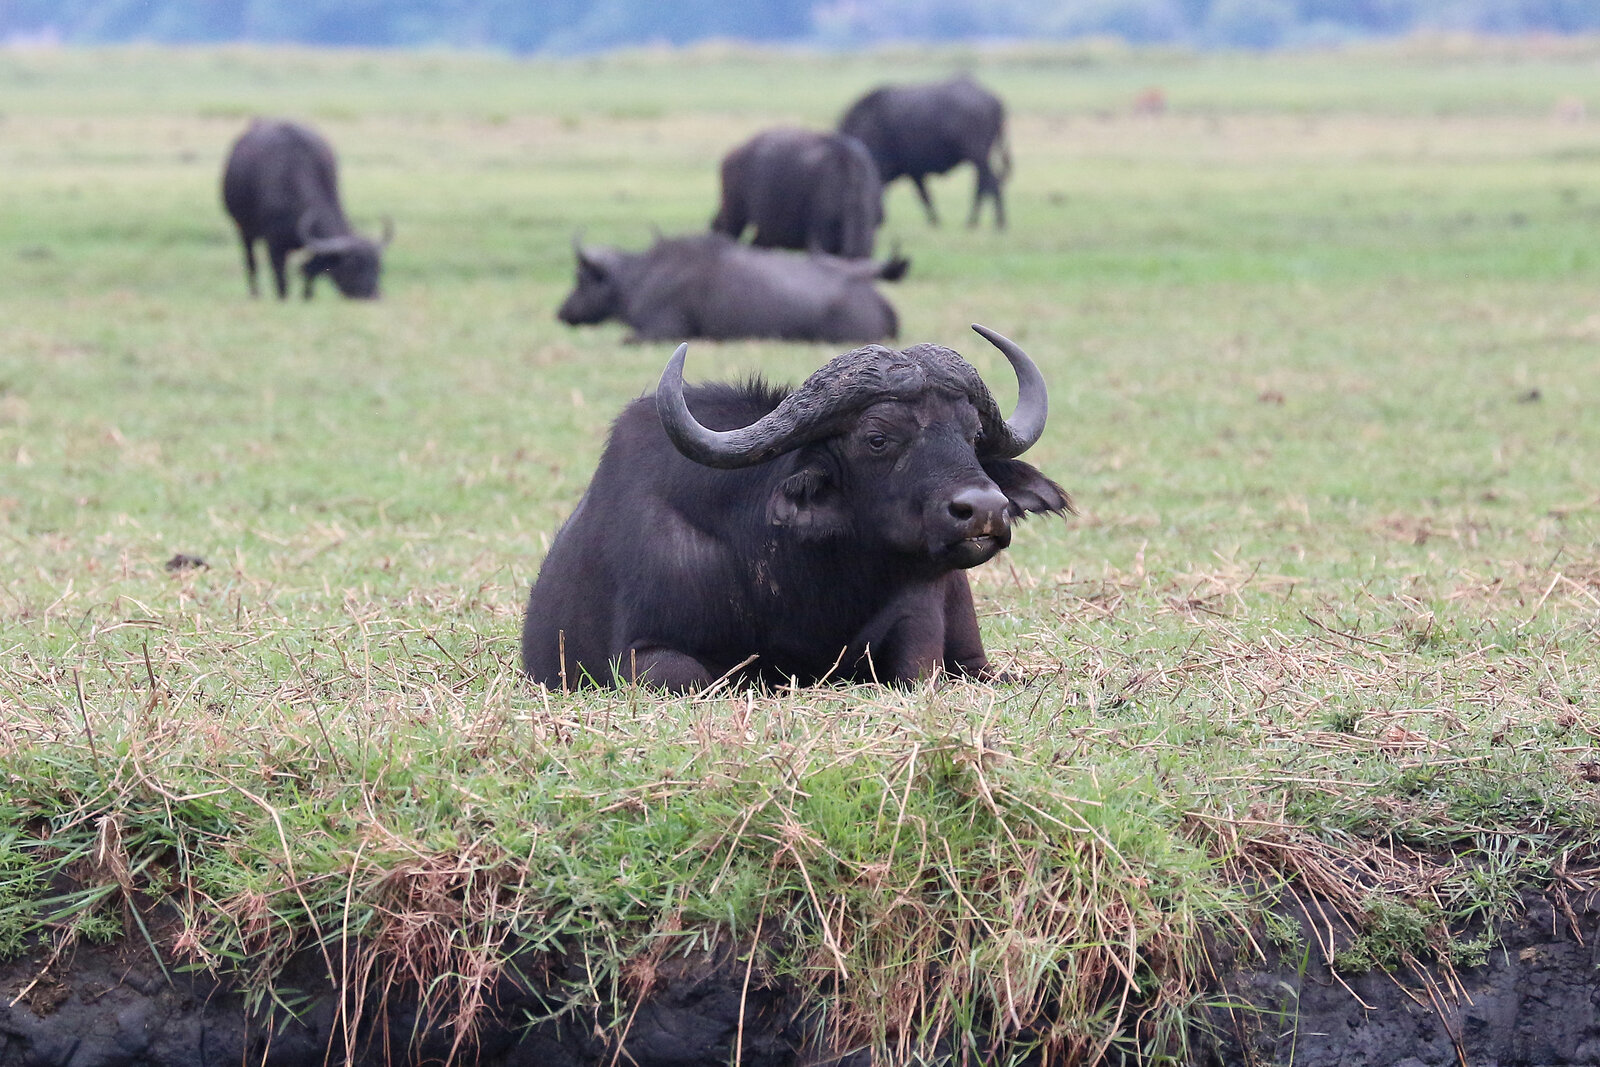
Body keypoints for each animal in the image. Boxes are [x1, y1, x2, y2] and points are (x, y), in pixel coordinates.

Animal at [221, 118, 393, 300]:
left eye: (379, 267)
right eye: (351, 266)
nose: (375, 296)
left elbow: (309, 277)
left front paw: (307, 297)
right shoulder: (274, 246)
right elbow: (282, 282)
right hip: (244, 230)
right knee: (251, 262)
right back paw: (255, 294)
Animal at [520, 325, 1070, 691]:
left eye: (973, 434)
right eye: (877, 438)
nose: (985, 509)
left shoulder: (920, 620)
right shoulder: (643, 652)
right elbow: (693, 675)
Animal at [838, 75, 1011, 229]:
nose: (879, 220)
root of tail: (994, 101)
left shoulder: (913, 171)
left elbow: (924, 196)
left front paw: (935, 221)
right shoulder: (915, 172)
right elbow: (924, 195)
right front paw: (935, 220)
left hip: (978, 156)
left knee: (990, 183)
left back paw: (991, 223)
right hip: (979, 159)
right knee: (985, 184)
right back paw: (979, 221)